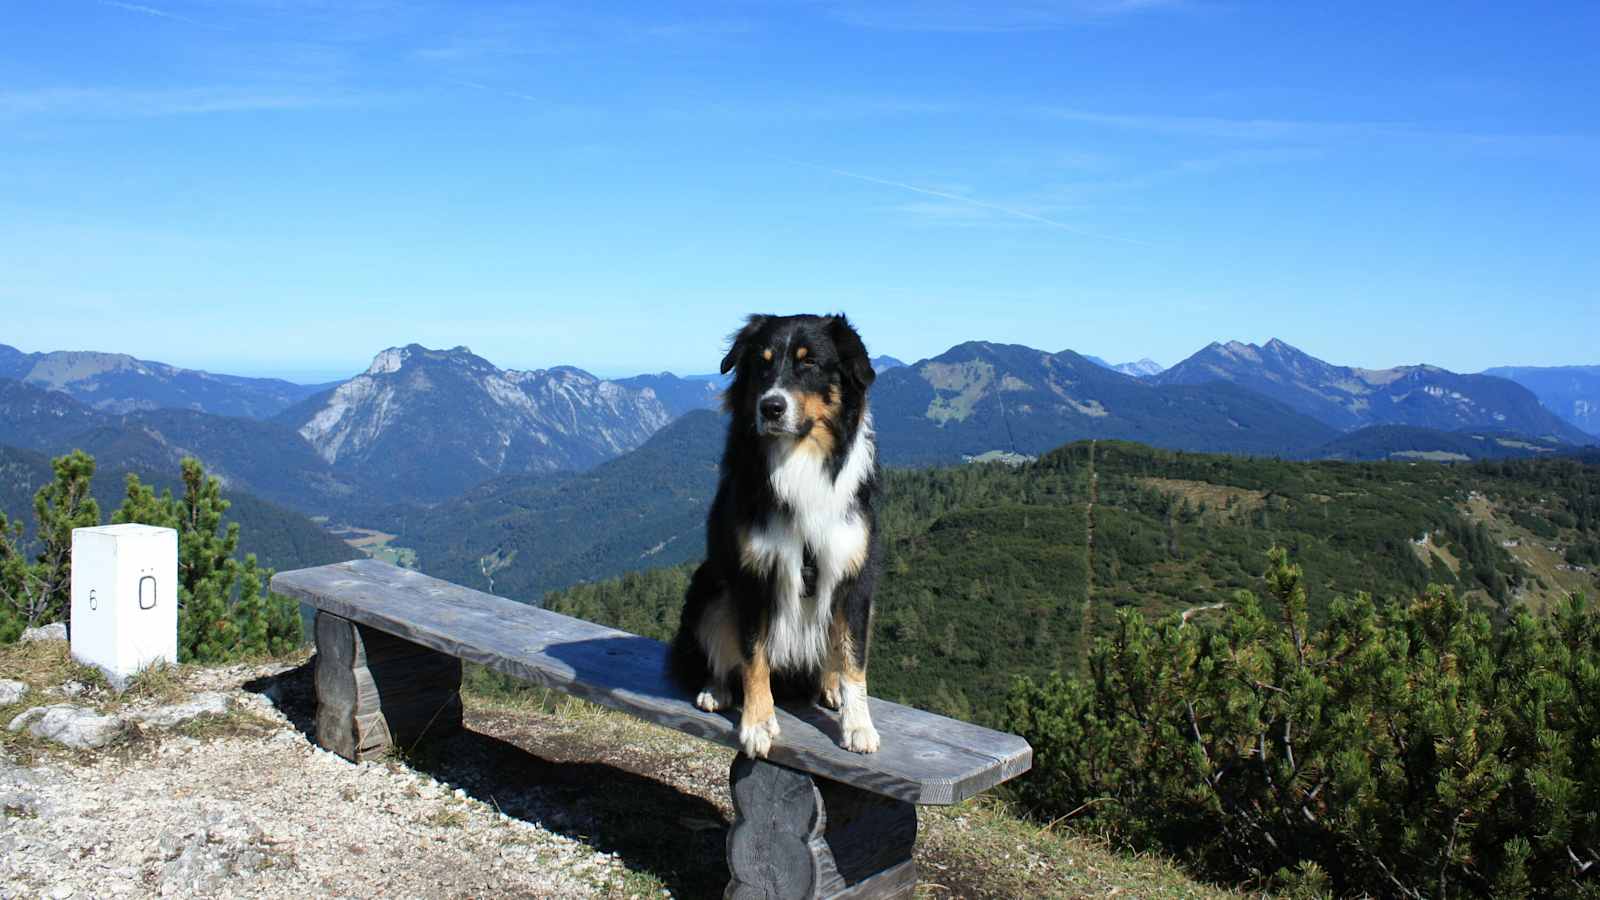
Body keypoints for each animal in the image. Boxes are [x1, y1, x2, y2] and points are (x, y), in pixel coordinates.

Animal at [665, 312, 889, 752]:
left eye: (809, 363)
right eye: (762, 364)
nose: (770, 406)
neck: (800, 459)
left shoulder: (855, 577)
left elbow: (853, 659)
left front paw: (858, 724)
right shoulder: (754, 574)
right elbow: (754, 655)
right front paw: (756, 723)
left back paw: (829, 686)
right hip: (709, 585)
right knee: (722, 651)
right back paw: (715, 688)